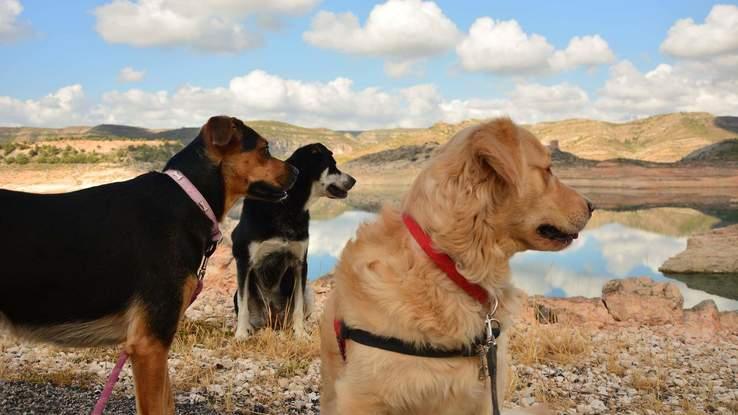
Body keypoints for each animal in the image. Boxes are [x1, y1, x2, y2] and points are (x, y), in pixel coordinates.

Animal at [231, 143, 356, 338]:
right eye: (333, 164)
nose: (353, 180)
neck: (290, 205)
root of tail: (273, 319)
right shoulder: (244, 262)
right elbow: (244, 307)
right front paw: (241, 335)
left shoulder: (300, 263)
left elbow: (297, 306)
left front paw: (300, 334)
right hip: (238, 293)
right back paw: (249, 328)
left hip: (308, 291)